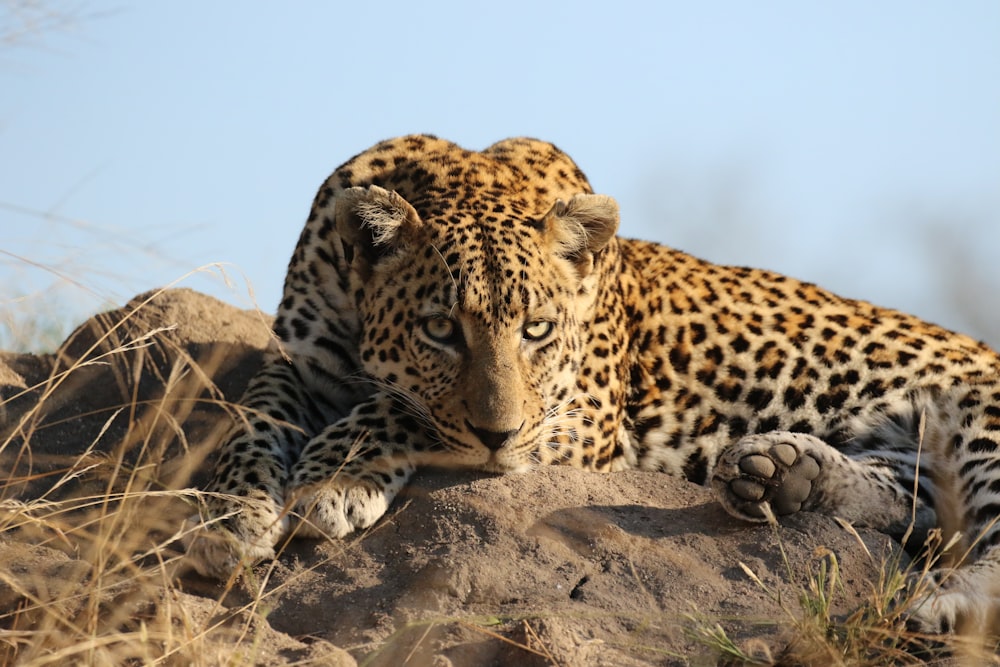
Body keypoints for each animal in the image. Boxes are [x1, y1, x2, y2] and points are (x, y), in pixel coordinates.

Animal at [184, 133, 996, 640]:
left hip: (977, 409)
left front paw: (331, 480)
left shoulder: (578, 417)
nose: (499, 434)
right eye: (440, 329)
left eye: (538, 330)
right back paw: (780, 474)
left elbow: (397, 409)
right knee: (919, 505)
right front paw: (228, 513)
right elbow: (252, 412)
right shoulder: (302, 362)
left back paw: (938, 610)